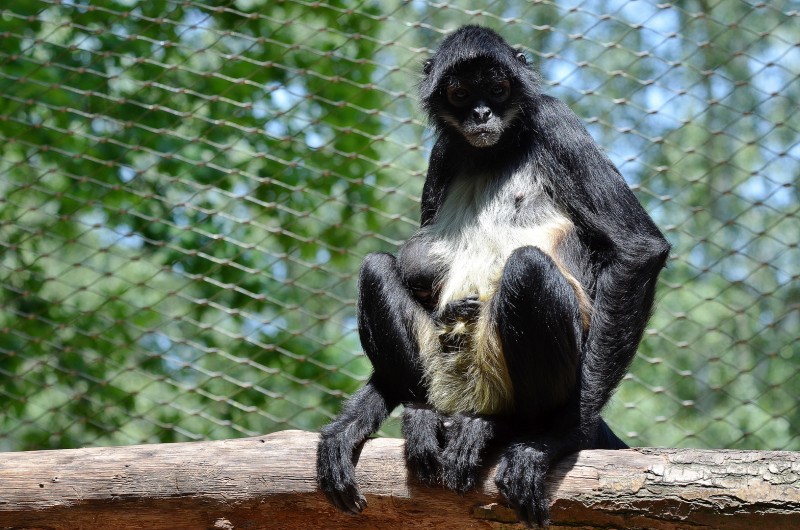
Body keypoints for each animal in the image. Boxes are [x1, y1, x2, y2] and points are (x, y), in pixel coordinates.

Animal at [316, 24, 672, 524]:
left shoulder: (554, 120)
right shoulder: (444, 151)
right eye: (461, 93)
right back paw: (423, 413)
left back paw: (506, 426)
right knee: (376, 267)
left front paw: (563, 437)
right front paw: (354, 421)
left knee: (528, 267)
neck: (495, 150)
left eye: (498, 90)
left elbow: (639, 249)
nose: (481, 113)